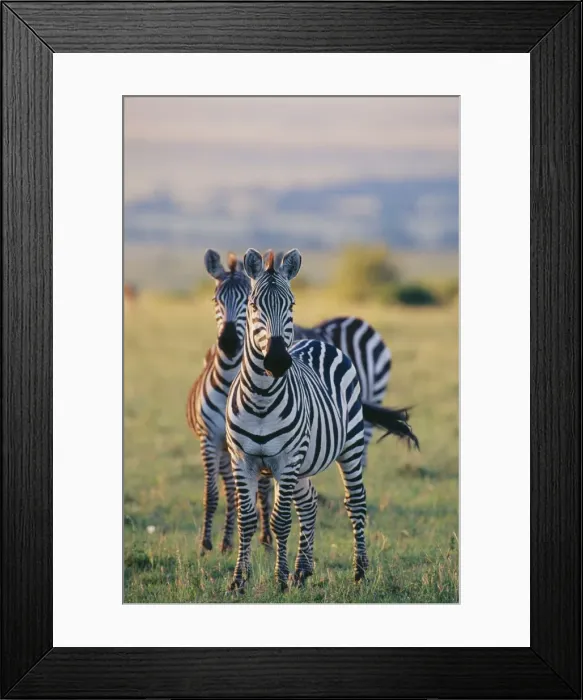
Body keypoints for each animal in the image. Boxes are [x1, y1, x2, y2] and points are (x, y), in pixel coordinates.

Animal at [186, 251, 273, 554]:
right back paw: (225, 540)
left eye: (247, 301)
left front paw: (261, 538)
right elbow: (212, 493)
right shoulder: (209, 439)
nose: (228, 342)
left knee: (253, 491)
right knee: (229, 489)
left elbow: (255, 492)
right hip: (224, 450)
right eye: (216, 300)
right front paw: (205, 544)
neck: (226, 384)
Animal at [226, 249, 418, 591]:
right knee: (310, 501)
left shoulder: (287, 459)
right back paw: (303, 571)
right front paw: (239, 581)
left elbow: (280, 520)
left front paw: (280, 580)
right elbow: (246, 519)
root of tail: (322, 343)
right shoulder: (242, 459)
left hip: (351, 446)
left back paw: (359, 571)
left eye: (291, 305)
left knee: (355, 501)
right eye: (253, 306)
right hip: (303, 463)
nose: (277, 360)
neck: (261, 398)